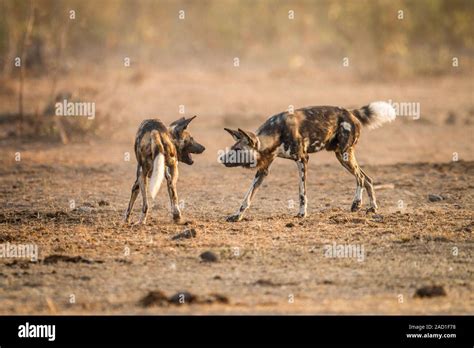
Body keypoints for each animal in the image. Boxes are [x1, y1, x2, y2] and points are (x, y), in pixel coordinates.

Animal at [221, 102, 396, 223]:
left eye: (237, 150)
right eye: (232, 148)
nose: (222, 159)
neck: (274, 136)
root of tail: (351, 112)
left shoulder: (302, 160)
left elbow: (302, 192)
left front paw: (302, 213)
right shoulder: (263, 170)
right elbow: (247, 198)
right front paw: (237, 215)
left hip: (344, 155)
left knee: (360, 177)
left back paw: (356, 204)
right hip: (342, 156)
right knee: (368, 179)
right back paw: (372, 207)